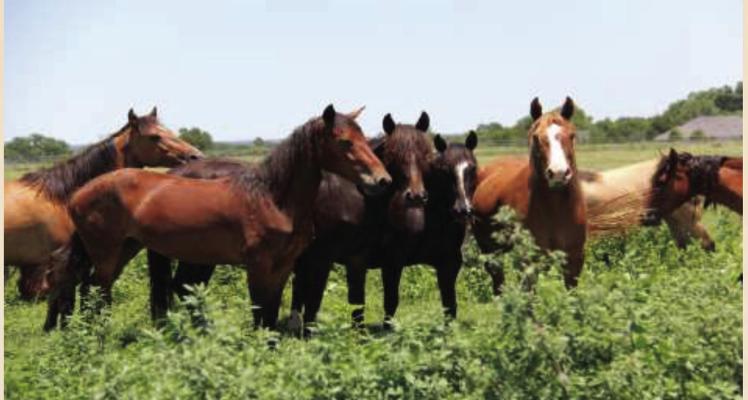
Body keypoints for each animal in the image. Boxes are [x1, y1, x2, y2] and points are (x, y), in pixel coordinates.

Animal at [43, 104, 392, 331]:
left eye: (365, 139)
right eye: (344, 141)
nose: (382, 181)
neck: (271, 198)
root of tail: (79, 193)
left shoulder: (283, 268)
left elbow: (271, 315)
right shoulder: (259, 267)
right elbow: (260, 315)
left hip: (126, 249)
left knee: (90, 288)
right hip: (107, 252)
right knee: (97, 291)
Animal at [472, 97, 586, 293]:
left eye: (572, 135)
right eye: (536, 137)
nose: (558, 173)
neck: (556, 210)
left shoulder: (574, 261)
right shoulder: (529, 263)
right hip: (489, 250)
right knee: (497, 280)